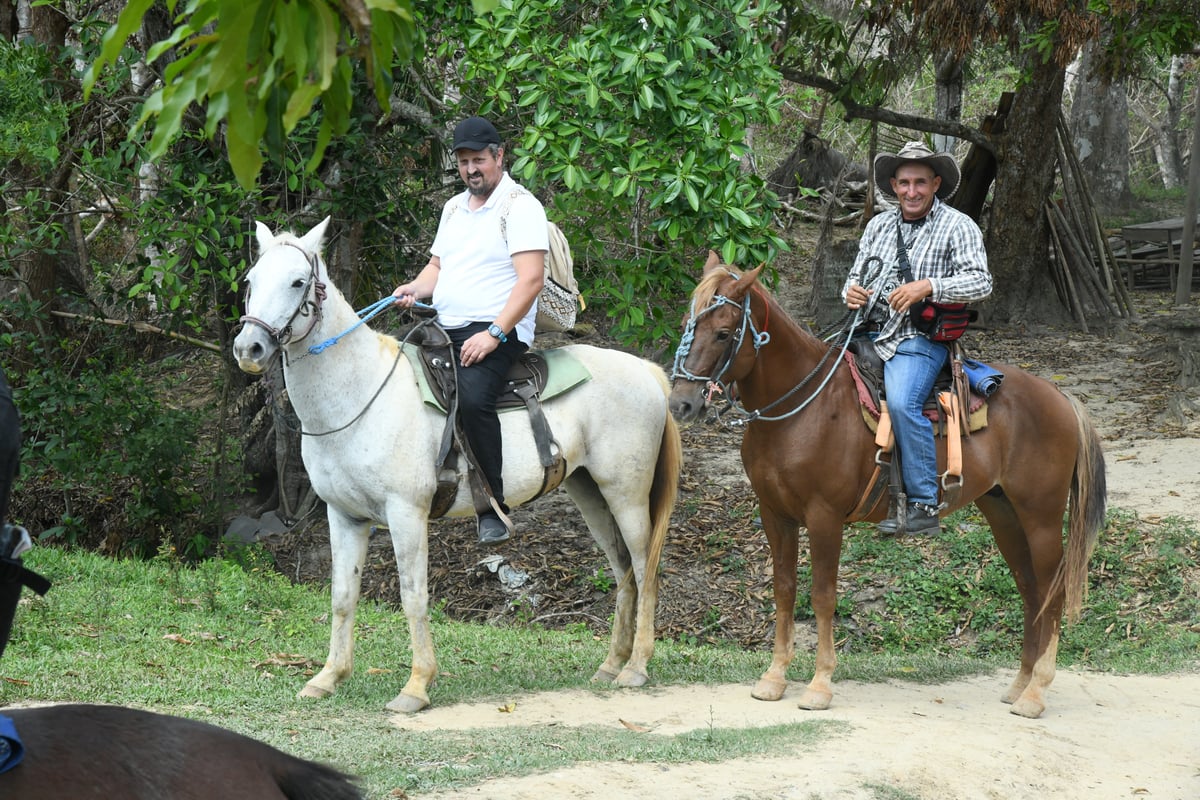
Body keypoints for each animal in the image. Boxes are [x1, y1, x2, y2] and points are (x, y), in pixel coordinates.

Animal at [229, 217, 681, 714]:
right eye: (251, 281)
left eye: (297, 282)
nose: (249, 348)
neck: (362, 392)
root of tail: (648, 373)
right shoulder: (343, 516)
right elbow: (343, 595)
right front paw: (328, 677)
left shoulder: (406, 514)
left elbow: (413, 596)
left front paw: (416, 686)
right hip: (589, 492)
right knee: (622, 571)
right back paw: (611, 664)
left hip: (627, 494)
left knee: (644, 566)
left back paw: (636, 668)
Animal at [667, 255, 1104, 719]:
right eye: (687, 324)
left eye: (723, 333)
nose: (681, 403)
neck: (799, 409)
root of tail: (1060, 396)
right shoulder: (775, 514)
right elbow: (784, 591)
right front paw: (773, 678)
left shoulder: (824, 517)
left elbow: (822, 596)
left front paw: (819, 685)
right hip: (1003, 511)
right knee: (1030, 589)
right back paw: (1020, 684)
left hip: (1041, 515)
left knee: (1053, 591)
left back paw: (1036, 693)